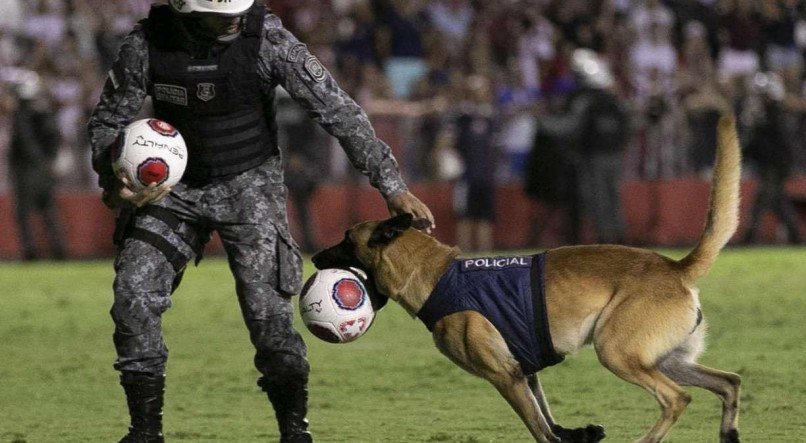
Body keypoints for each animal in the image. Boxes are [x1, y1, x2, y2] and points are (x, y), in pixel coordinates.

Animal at [314, 116, 744, 442]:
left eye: (346, 238)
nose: (315, 257)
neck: (435, 274)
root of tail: (675, 267)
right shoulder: (526, 373)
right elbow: (549, 421)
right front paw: (580, 433)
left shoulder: (505, 377)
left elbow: (541, 430)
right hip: (666, 359)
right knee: (730, 382)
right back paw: (729, 432)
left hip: (617, 352)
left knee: (677, 399)